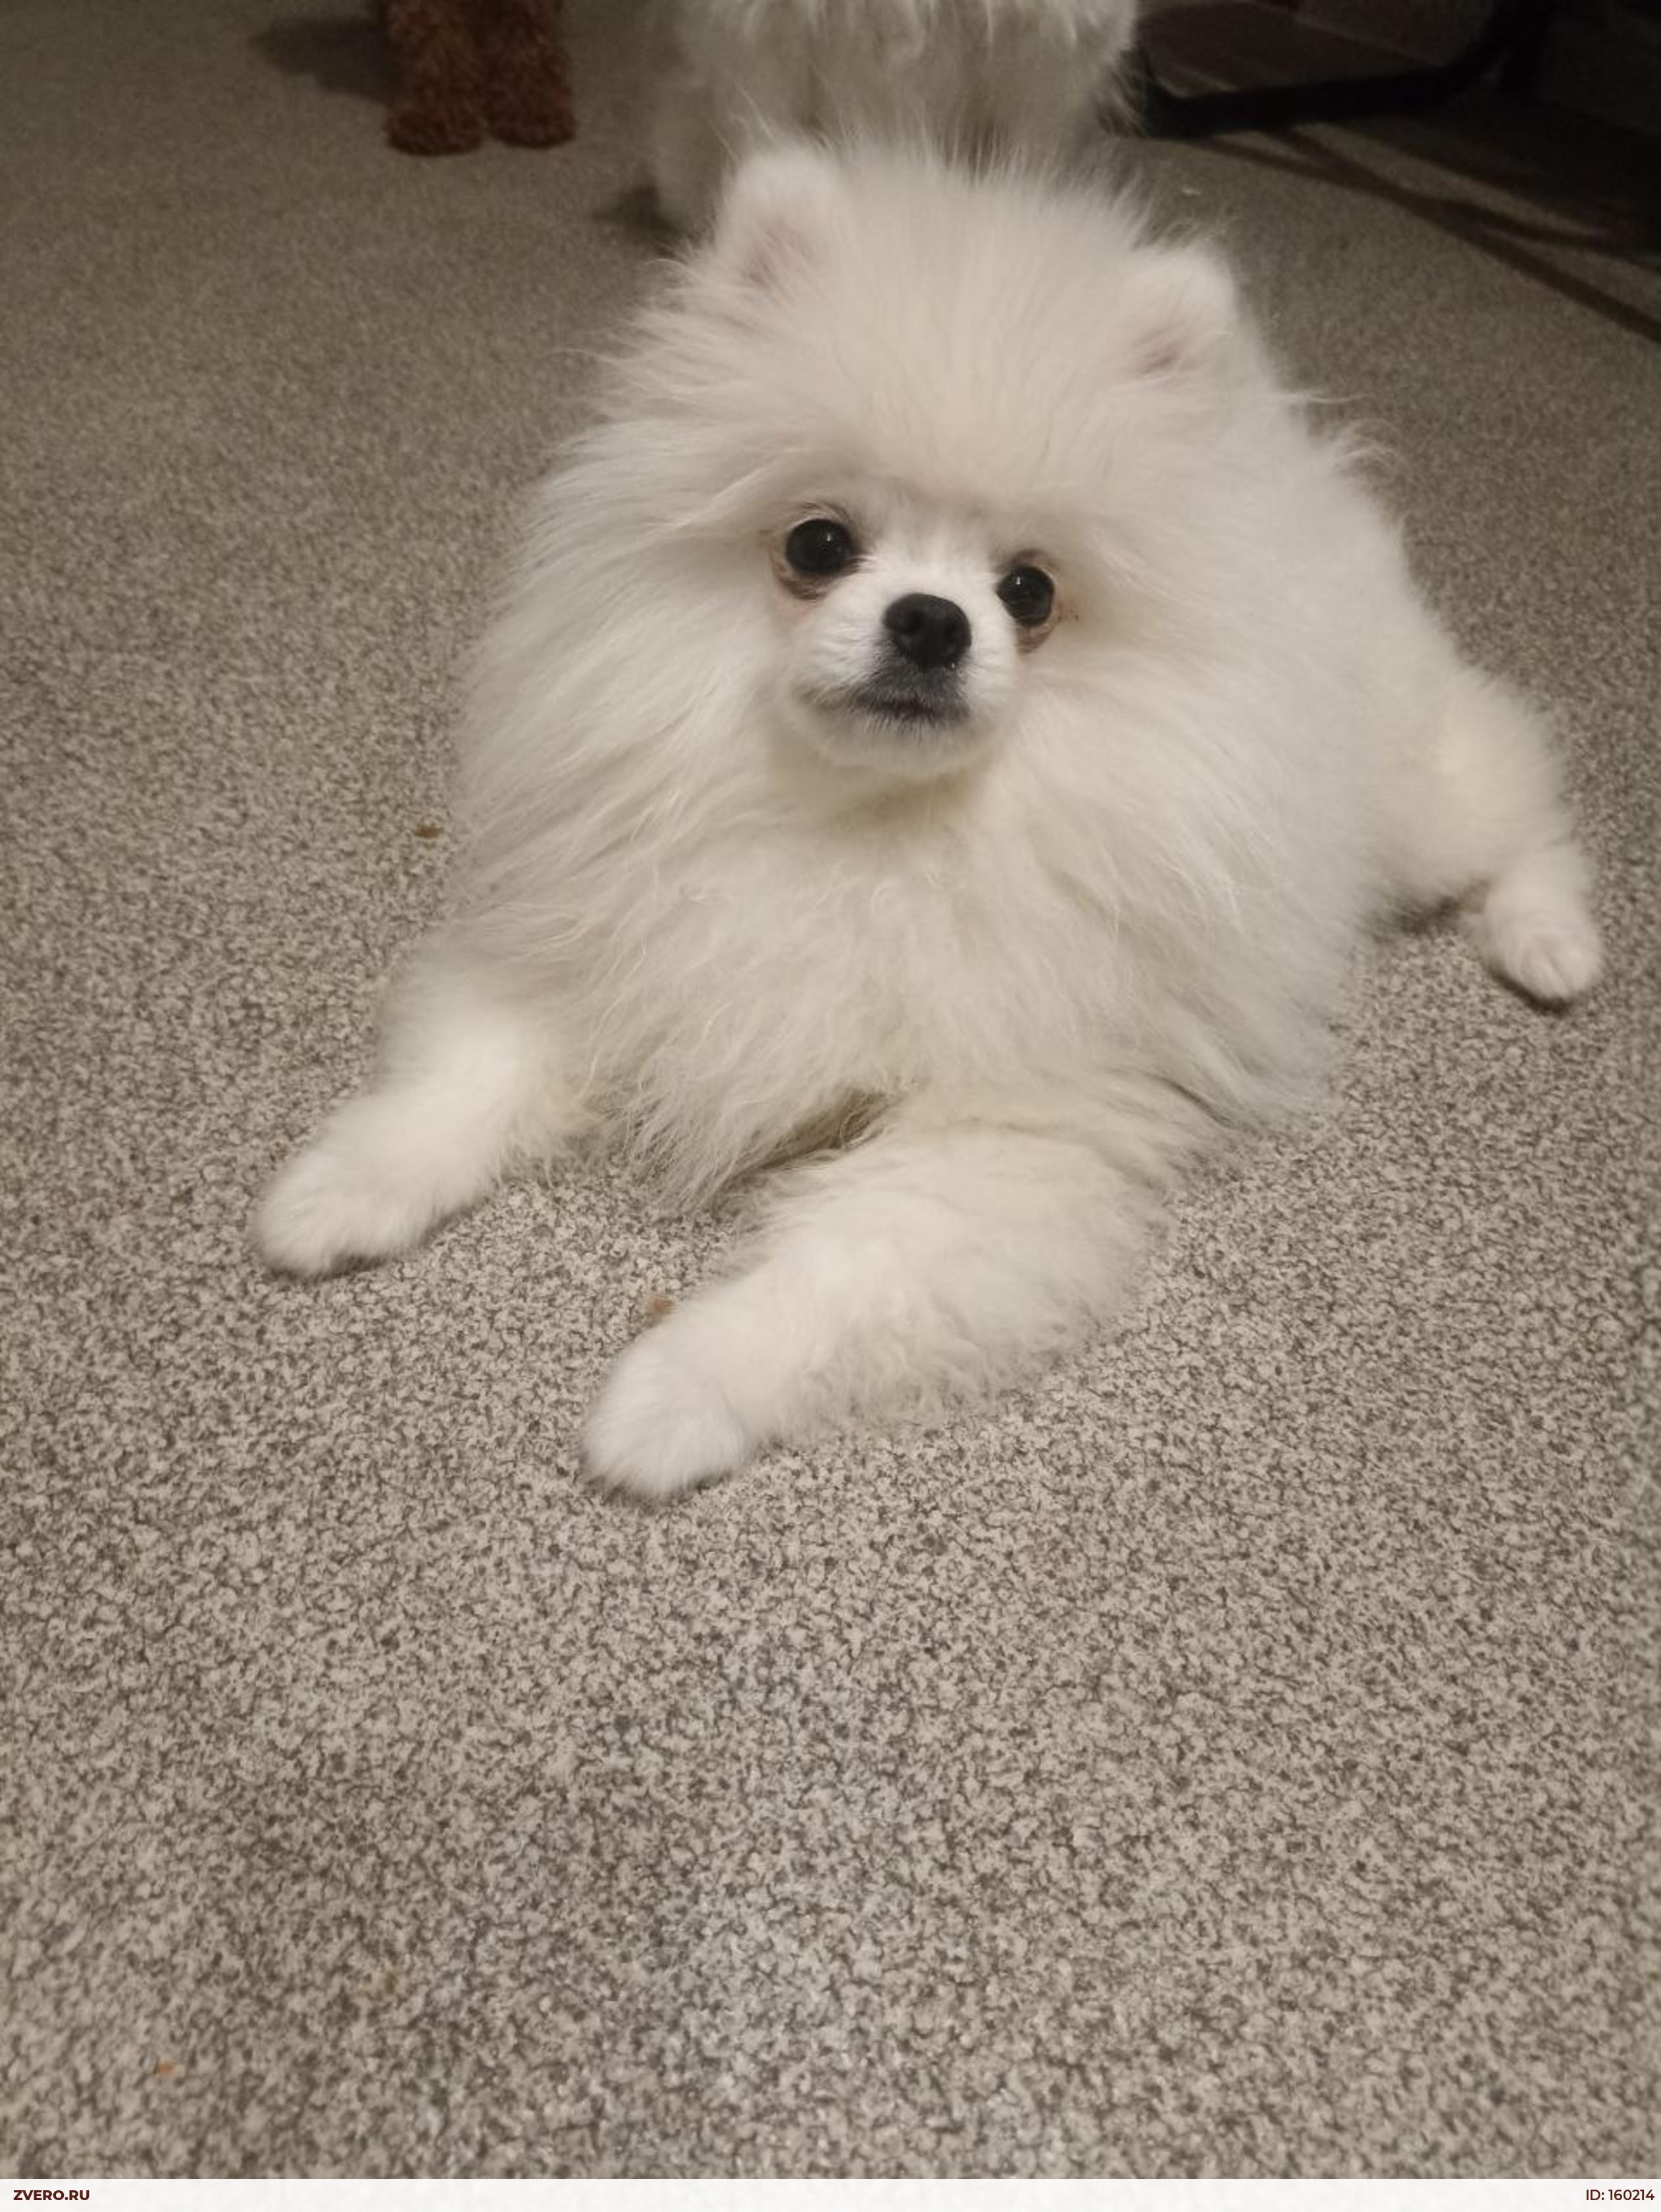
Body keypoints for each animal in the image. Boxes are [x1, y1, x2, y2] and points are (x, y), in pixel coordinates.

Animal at [255, 146, 1603, 1497]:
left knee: (1519, 788)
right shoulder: (616, 940)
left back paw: (1551, 943)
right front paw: (338, 1190)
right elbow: (467, 1074)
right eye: (818, 543)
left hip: (1411, 803)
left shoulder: (1006, 1126)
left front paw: (668, 1398)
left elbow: (832, 1276)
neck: (867, 831)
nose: (929, 621)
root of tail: (1297, 464)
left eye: (1029, 592)